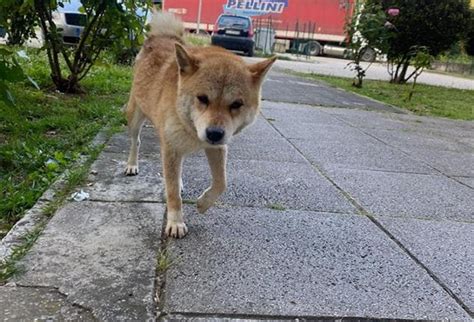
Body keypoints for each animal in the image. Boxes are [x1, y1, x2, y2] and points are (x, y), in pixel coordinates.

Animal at [124, 12, 276, 238]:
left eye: (236, 104)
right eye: (202, 98)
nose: (214, 133)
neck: (191, 131)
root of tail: (162, 36)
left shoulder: (217, 148)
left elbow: (221, 183)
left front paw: (204, 203)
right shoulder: (171, 147)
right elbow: (172, 194)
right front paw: (176, 222)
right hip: (135, 115)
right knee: (136, 141)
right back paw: (132, 164)